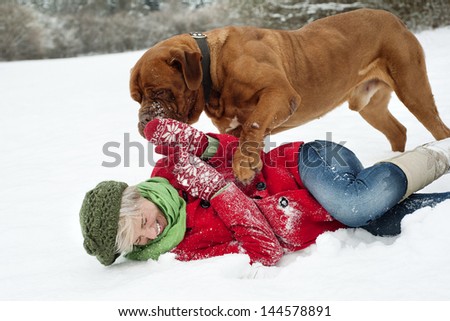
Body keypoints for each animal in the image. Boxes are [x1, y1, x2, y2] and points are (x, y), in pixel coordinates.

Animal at [129, 8, 450, 182]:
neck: (213, 69)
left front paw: (244, 165)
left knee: (438, 128)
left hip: (413, 89)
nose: (143, 119)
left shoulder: (279, 94)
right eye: (137, 98)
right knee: (397, 130)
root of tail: (395, 19)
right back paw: (395, 158)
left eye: (160, 91)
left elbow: (253, 125)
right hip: (369, 106)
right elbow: (245, 137)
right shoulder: (234, 127)